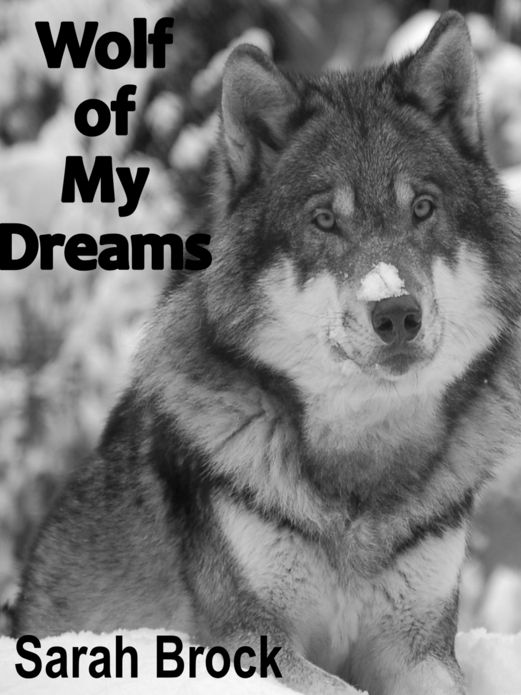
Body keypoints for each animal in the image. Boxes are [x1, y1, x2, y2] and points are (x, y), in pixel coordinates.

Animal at [13, 11, 521, 695]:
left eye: (423, 208)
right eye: (324, 220)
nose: (396, 312)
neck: (360, 474)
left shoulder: (418, 647)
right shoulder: (250, 640)